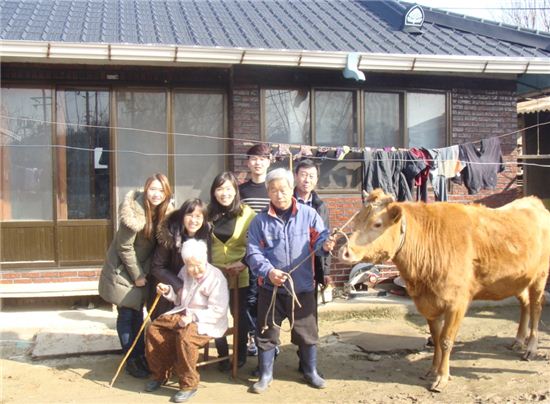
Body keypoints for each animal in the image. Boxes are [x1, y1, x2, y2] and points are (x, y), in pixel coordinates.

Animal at [340, 191, 550, 392]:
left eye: (377, 223)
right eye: (357, 219)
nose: (344, 251)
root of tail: (534, 201)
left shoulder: (457, 303)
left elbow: (446, 340)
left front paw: (442, 377)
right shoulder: (429, 303)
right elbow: (435, 337)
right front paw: (433, 369)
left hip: (539, 276)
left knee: (536, 308)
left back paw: (531, 348)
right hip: (517, 280)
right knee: (525, 304)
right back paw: (519, 340)